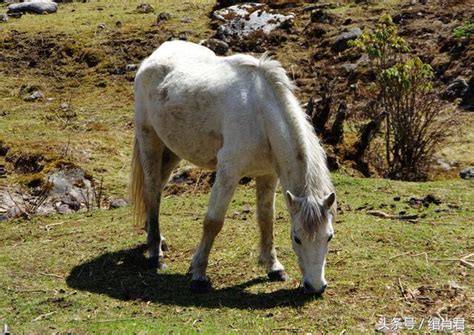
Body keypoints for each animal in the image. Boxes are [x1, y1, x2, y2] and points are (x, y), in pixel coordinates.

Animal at [130, 40, 336, 296]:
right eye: (297, 238)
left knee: (156, 190)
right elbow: (213, 222)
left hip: (172, 150)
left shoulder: (268, 175)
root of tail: (153, 58)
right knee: (151, 192)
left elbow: (266, 218)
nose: (316, 287)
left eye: (329, 237)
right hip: (150, 141)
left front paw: (273, 267)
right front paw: (198, 274)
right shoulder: (228, 172)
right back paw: (155, 253)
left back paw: (158, 239)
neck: (261, 115)